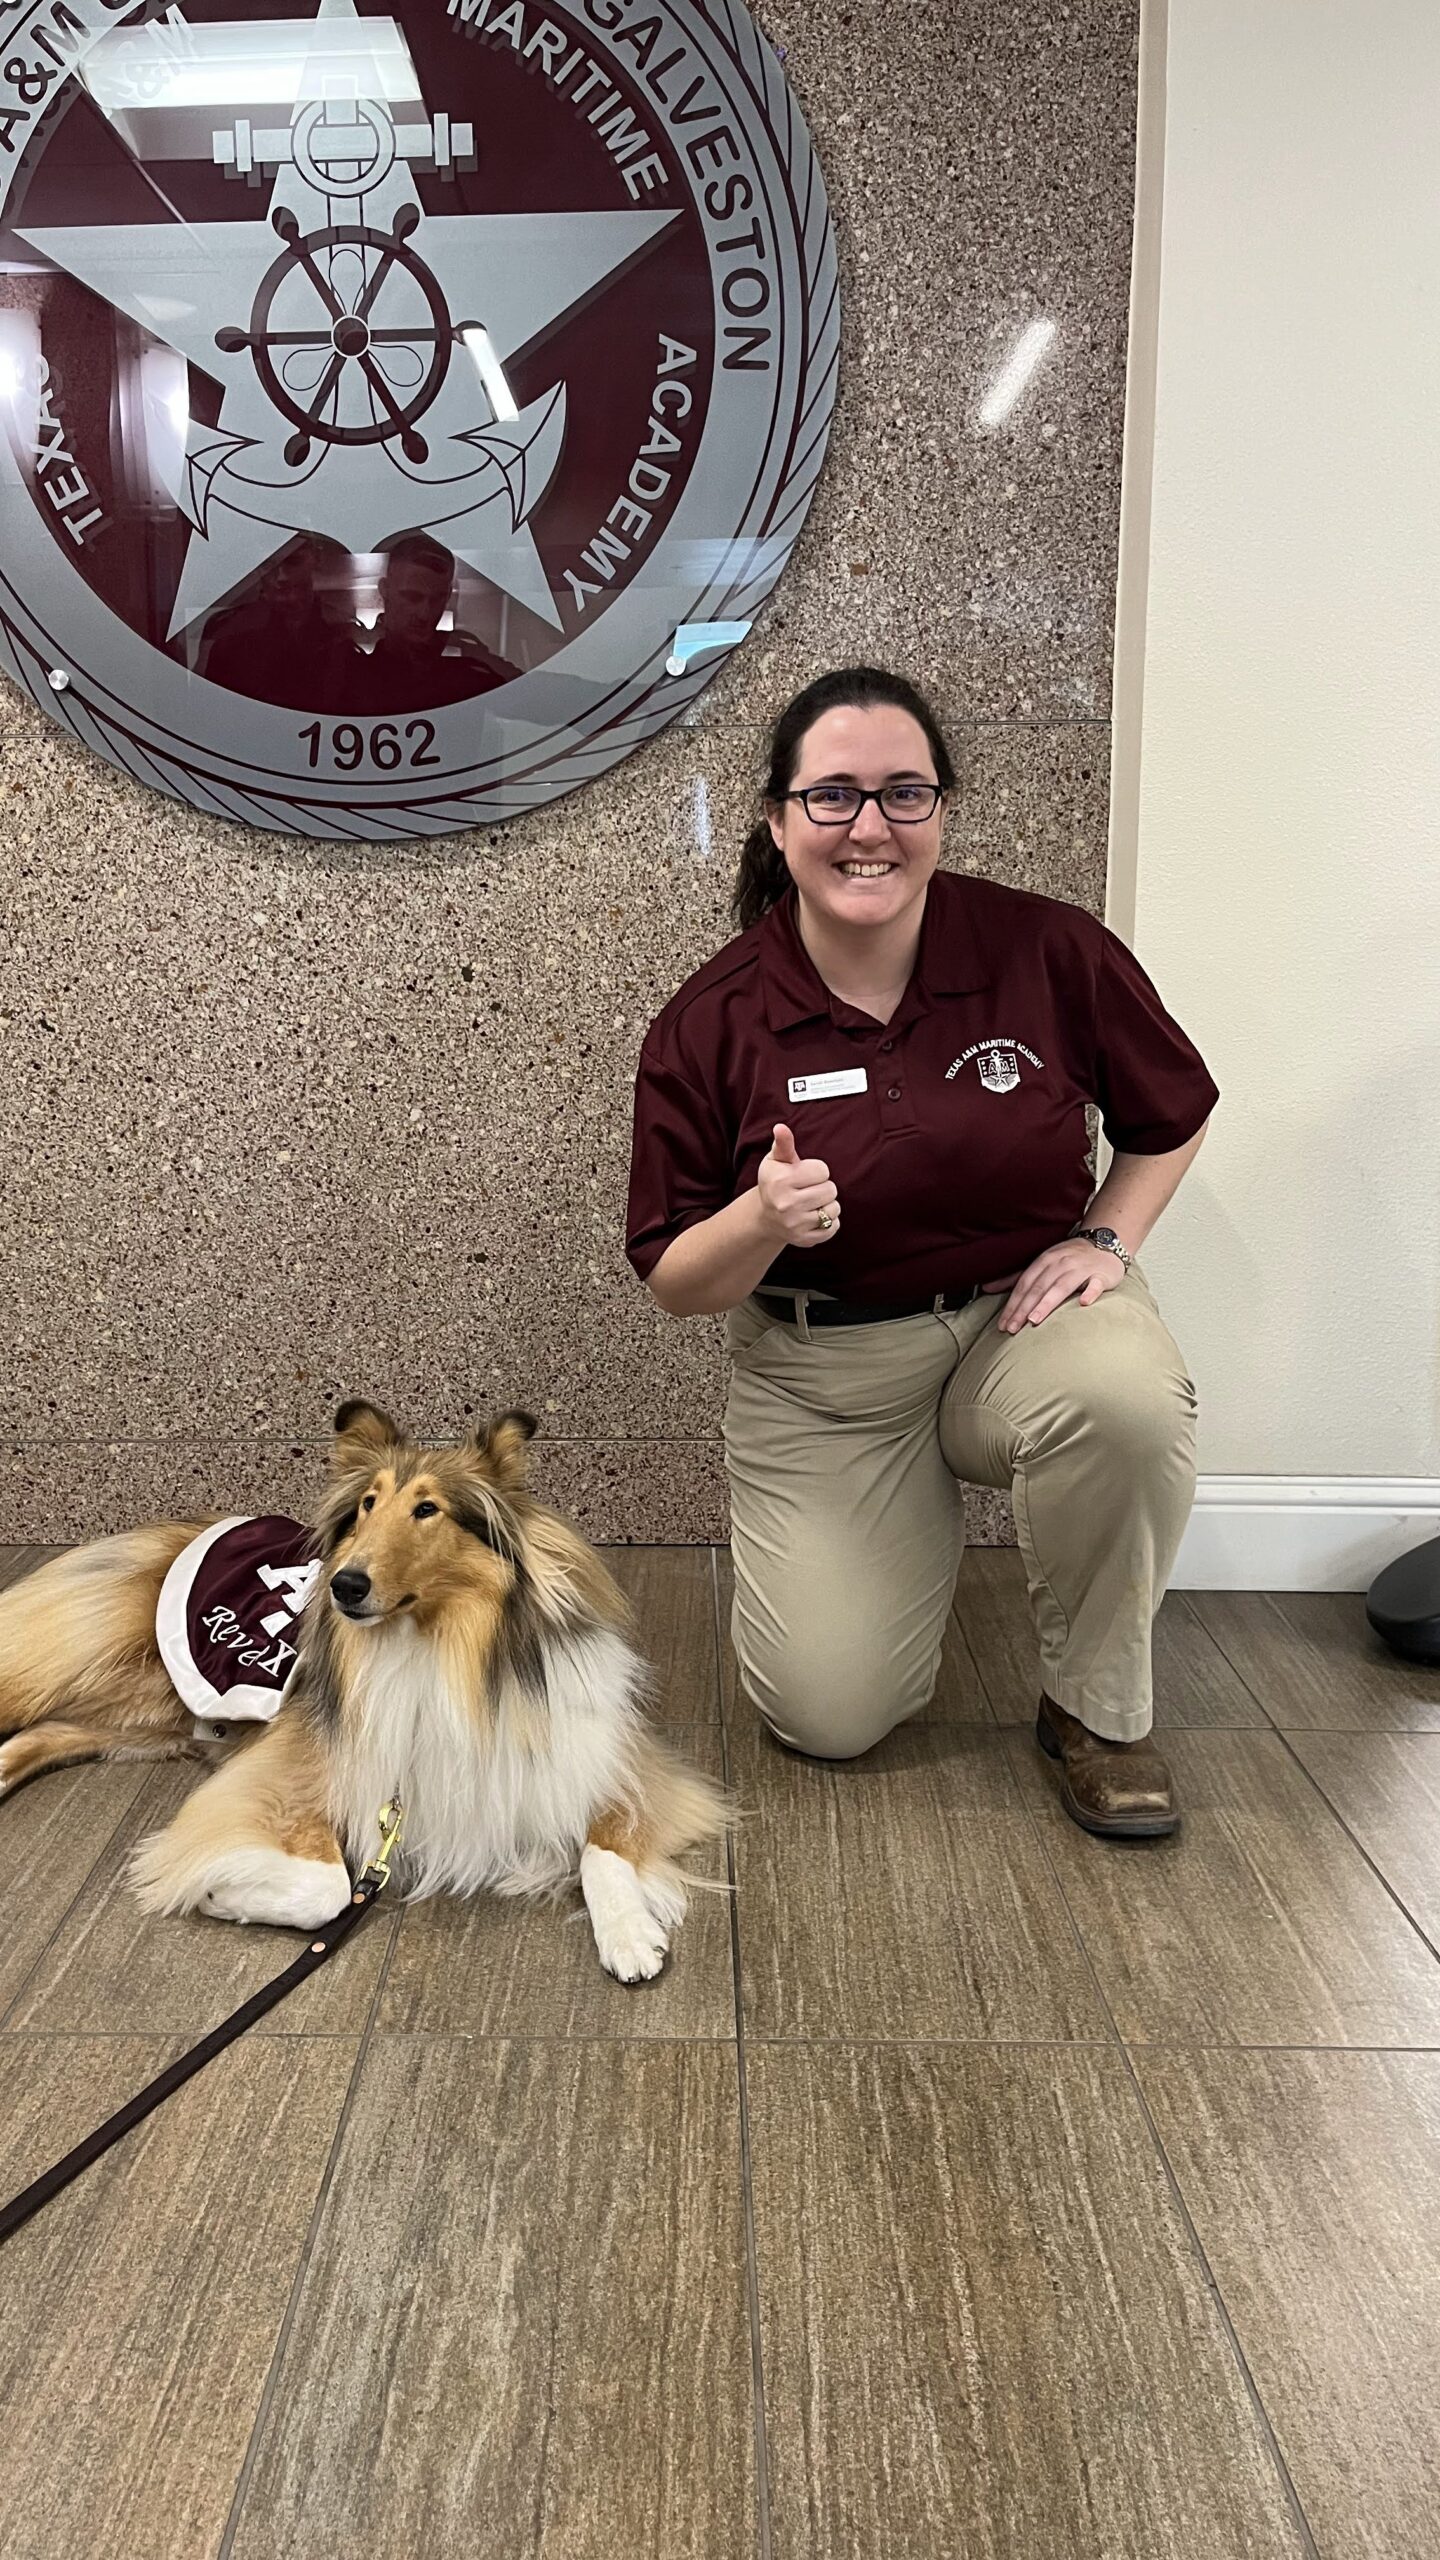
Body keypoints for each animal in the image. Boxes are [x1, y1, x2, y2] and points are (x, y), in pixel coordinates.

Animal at [0, 1402, 727, 1976]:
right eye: (368, 1505)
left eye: (428, 1509)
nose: (345, 1586)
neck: (443, 1654)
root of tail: (176, 1527)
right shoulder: (278, 1780)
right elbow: (327, 1889)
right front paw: (221, 1895)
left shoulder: (608, 1760)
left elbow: (606, 1844)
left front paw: (629, 1934)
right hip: (57, 1666)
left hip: (141, 1720)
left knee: (45, 1734)